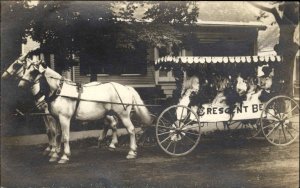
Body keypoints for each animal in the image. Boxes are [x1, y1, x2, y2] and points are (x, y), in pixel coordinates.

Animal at [17, 59, 151, 163]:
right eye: (25, 70)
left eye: (33, 71)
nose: (20, 85)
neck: (59, 91)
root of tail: (126, 88)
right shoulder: (56, 118)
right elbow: (57, 135)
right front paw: (55, 154)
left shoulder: (64, 118)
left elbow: (65, 137)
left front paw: (64, 156)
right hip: (110, 113)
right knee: (112, 124)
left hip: (124, 115)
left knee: (131, 130)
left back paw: (131, 152)